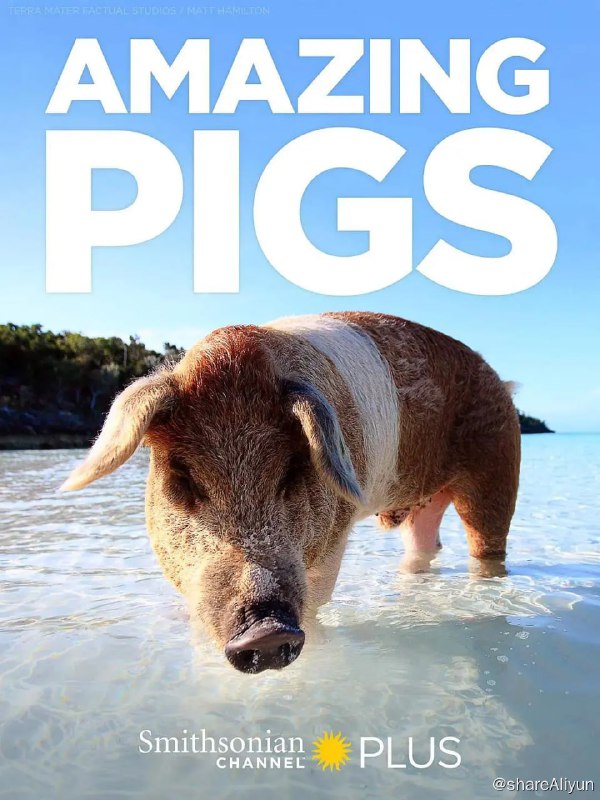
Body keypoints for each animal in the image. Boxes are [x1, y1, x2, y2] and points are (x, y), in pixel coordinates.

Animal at [60, 312, 520, 674]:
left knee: (487, 545)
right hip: (424, 505)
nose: (264, 632)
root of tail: (502, 382)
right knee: (424, 546)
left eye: (293, 471)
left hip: (498, 470)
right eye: (183, 478)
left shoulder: (332, 542)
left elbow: (316, 603)